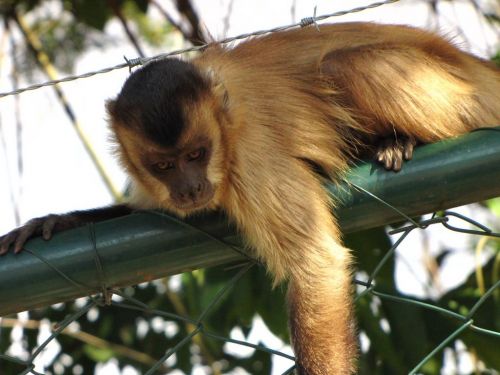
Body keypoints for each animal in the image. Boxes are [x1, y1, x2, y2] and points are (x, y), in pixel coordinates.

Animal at [0, 22, 500, 374]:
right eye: (164, 166)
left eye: (196, 155)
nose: (189, 188)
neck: (224, 126)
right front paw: (54, 223)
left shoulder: (252, 160)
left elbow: (315, 264)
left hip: (461, 96)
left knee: (342, 66)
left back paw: (396, 141)